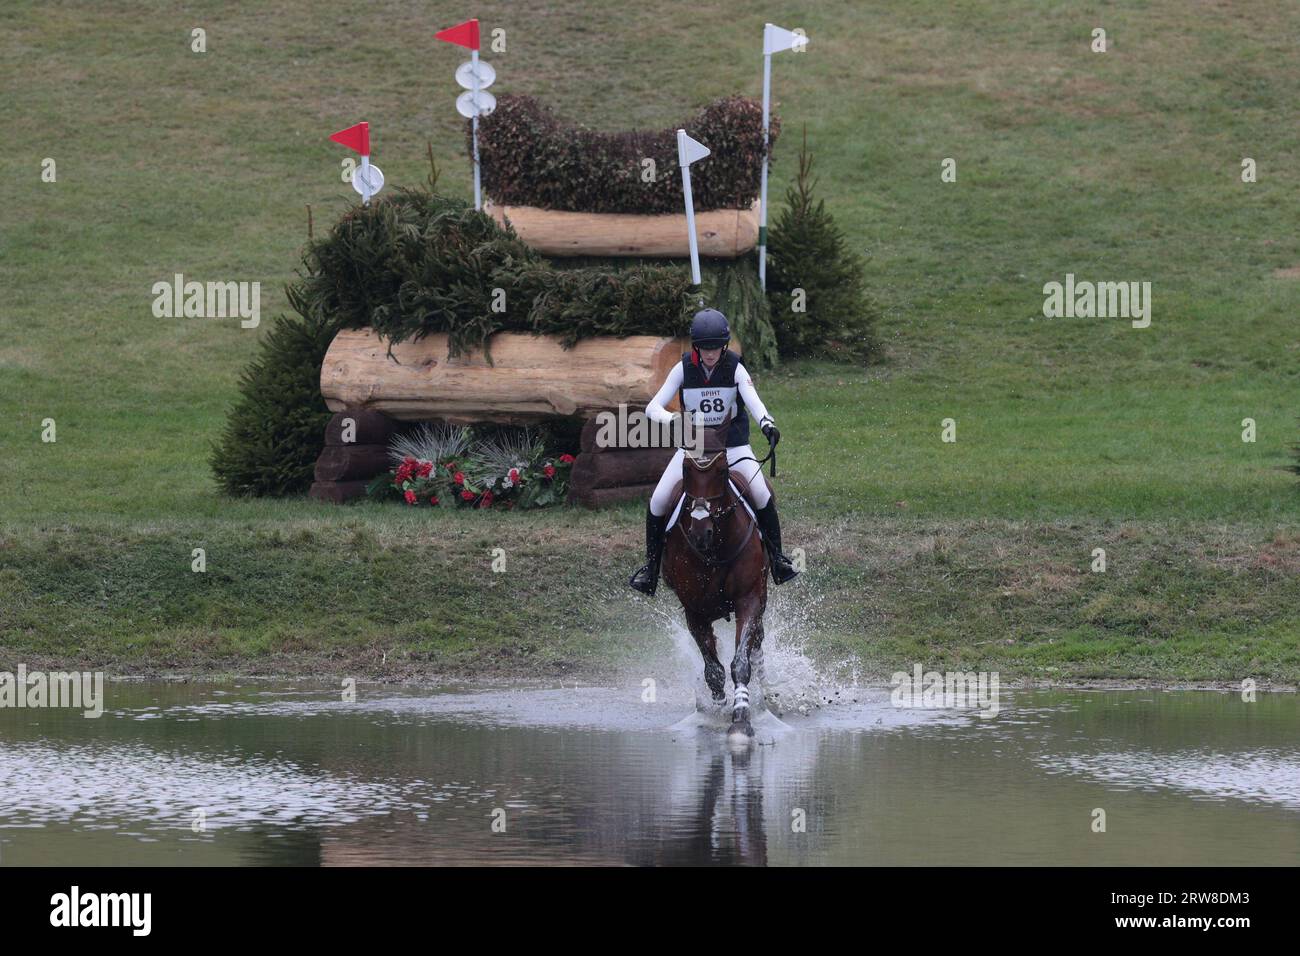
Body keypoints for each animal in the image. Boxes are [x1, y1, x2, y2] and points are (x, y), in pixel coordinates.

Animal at [660, 424, 769, 738]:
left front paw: (741, 715)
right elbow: (714, 668)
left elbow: (740, 662)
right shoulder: (694, 610)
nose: (700, 533)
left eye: (721, 472)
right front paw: (718, 704)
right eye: (686, 471)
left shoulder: (748, 599)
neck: (714, 550)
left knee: (757, 641)